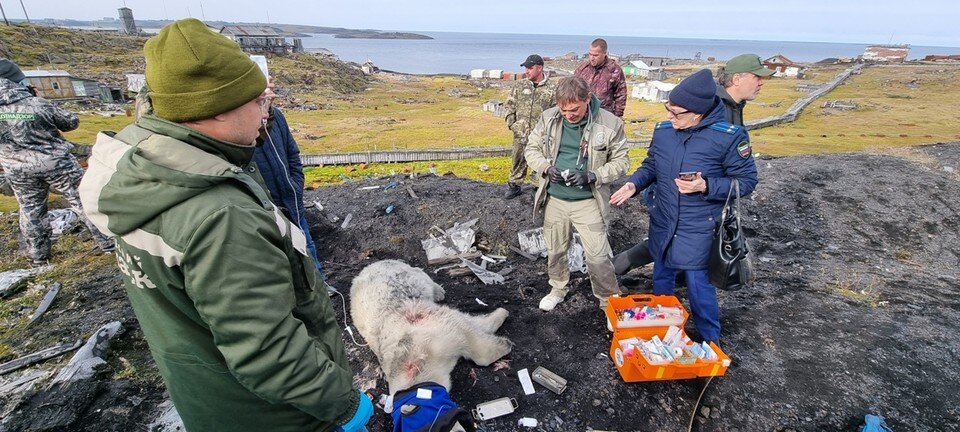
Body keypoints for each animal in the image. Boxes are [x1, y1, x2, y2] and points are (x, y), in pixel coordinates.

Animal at [350, 258, 512, 394]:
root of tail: (374, 264)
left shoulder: (433, 328)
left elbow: (469, 334)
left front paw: (502, 331)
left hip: (406, 272)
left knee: (423, 276)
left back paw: (439, 291)